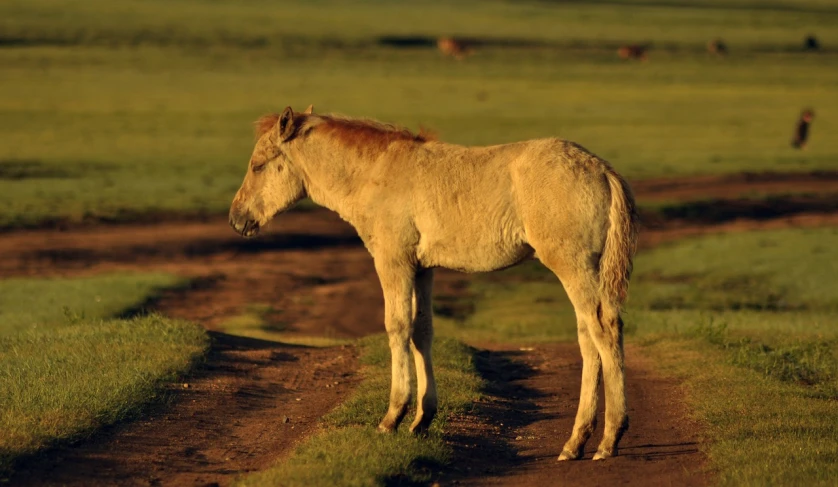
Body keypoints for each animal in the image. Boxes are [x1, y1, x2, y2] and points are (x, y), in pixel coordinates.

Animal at [226, 106, 640, 462]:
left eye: (258, 165)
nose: (236, 219)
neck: (375, 174)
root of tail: (601, 169)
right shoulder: (423, 269)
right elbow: (421, 331)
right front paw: (422, 419)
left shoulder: (392, 261)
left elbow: (396, 327)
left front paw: (392, 417)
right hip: (584, 269)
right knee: (589, 336)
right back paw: (577, 441)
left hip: (571, 265)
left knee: (603, 328)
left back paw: (608, 438)